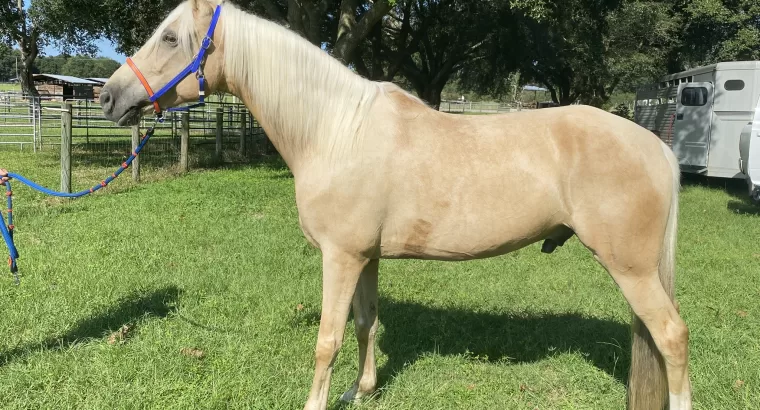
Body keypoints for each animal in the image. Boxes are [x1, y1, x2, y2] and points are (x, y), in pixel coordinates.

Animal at [98, 1, 692, 408]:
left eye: (170, 37)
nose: (108, 96)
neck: (336, 131)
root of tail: (657, 146)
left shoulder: (339, 258)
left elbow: (328, 339)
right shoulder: (365, 257)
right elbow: (365, 324)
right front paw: (361, 391)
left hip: (633, 270)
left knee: (672, 337)